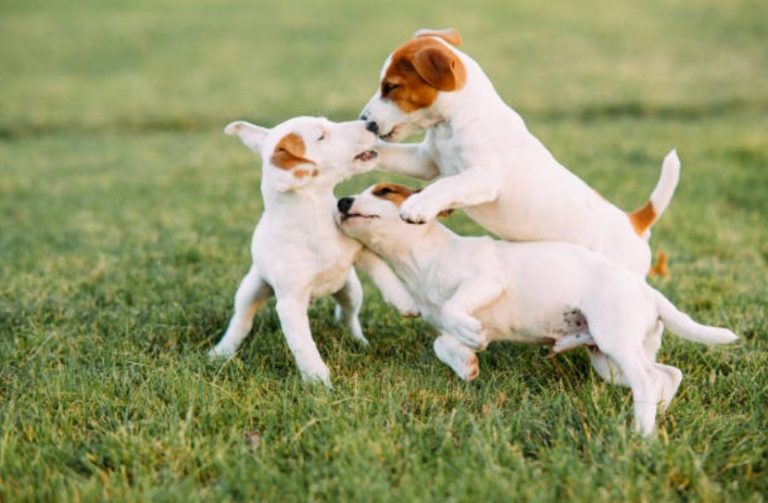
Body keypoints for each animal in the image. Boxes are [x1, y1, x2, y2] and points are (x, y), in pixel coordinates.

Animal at [208, 117, 420, 386]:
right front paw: (318, 380)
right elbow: (303, 344)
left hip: (351, 289)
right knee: (241, 320)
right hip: (251, 290)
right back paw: (221, 351)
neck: (315, 218)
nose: (370, 123)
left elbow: (382, 270)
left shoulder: (359, 250)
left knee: (349, 316)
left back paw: (359, 341)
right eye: (321, 136)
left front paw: (404, 301)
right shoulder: (289, 304)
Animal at [336, 185, 736, 438]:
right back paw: (657, 418)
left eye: (384, 191)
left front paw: (470, 339)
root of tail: (650, 293)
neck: (422, 259)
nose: (341, 201)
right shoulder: (448, 323)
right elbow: (442, 343)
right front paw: (465, 363)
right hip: (608, 360)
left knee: (650, 378)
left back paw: (641, 434)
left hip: (615, 339)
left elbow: (454, 308)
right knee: (667, 375)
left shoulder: (487, 281)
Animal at [360, 29, 680, 278]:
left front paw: (419, 206)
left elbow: (448, 184)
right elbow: (389, 153)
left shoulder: (485, 178)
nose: (366, 121)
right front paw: (360, 148)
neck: (454, 122)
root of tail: (633, 223)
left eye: (390, 87)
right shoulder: (426, 161)